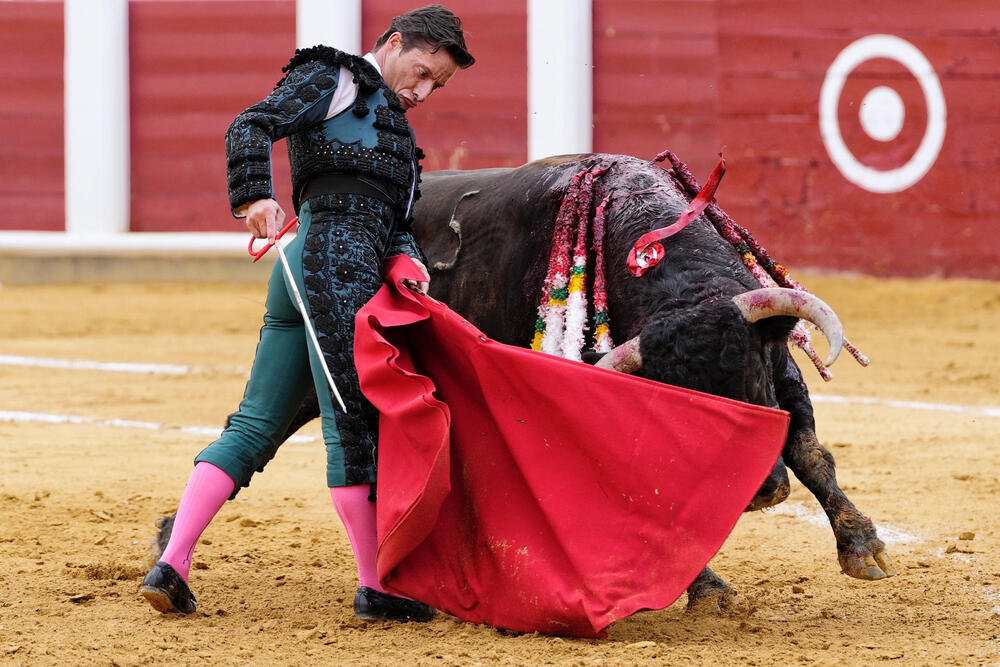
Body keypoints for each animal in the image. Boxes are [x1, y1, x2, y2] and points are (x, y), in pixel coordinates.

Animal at [150, 151, 900, 612]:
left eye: (746, 371)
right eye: (683, 400)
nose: (759, 491)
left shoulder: (783, 372)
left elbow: (811, 453)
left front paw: (863, 548)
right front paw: (705, 586)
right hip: (321, 377)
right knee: (261, 439)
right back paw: (169, 555)